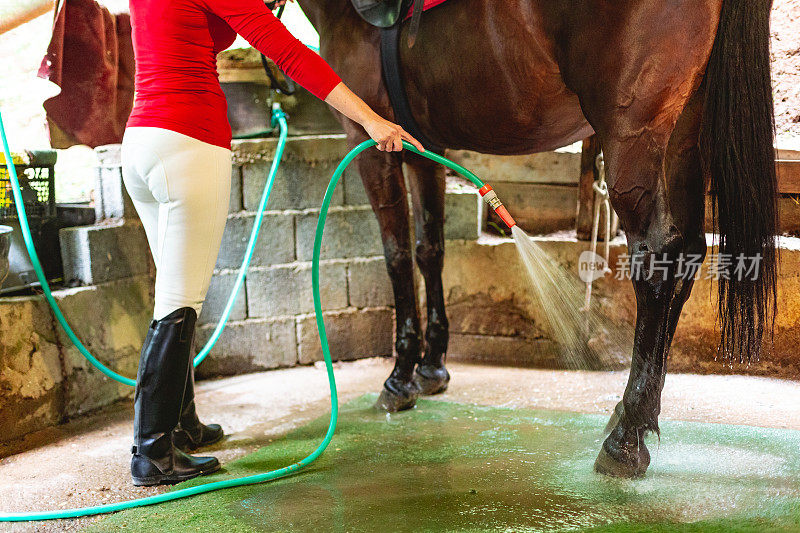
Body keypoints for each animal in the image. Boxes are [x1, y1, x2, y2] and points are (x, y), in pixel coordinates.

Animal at [294, 0, 776, 476]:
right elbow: (429, 250)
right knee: (689, 253)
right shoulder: (422, 150)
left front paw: (400, 379)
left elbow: (396, 257)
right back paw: (628, 414)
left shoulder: (372, 144)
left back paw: (625, 439)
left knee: (657, 259)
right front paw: (432, 369)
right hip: (685, 131)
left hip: (633, 132)